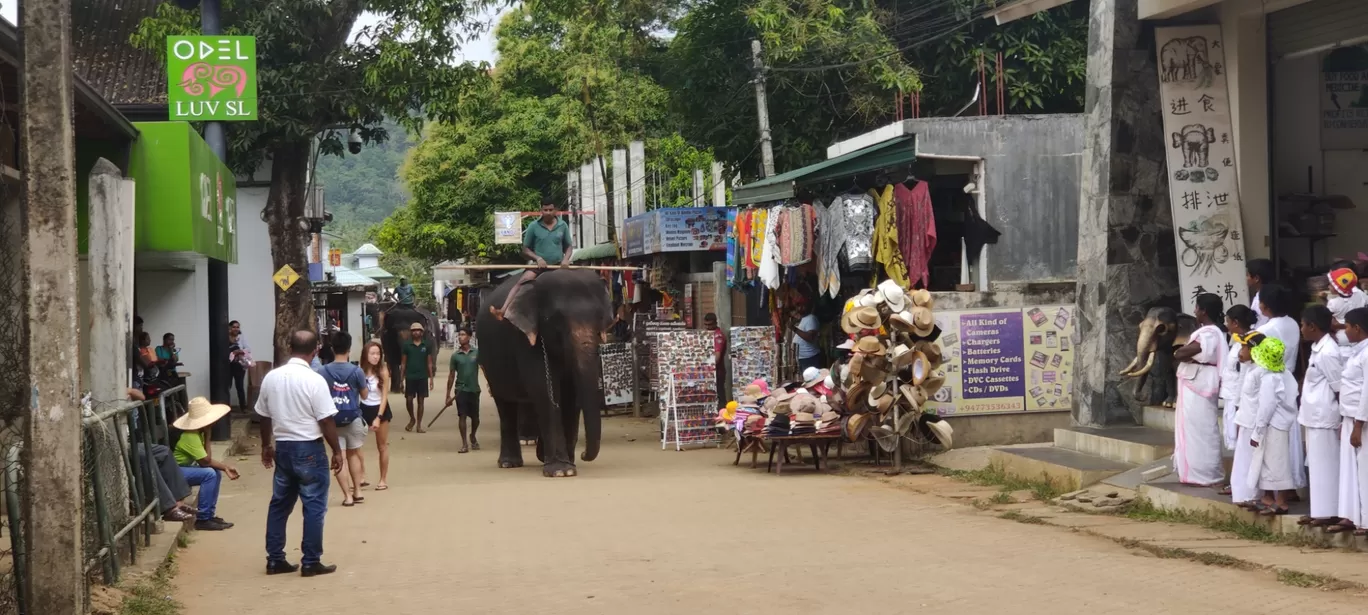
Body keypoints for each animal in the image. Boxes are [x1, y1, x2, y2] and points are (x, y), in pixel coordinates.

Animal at [476, 271, 615, 478]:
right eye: (556, 320)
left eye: (600, 318)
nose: (583, 454)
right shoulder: (525, 339)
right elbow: (544, 389)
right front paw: (561, 471)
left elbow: (570, 395)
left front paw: (568, 465)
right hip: (490, 362)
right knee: (505, 403)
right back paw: (509, 463)